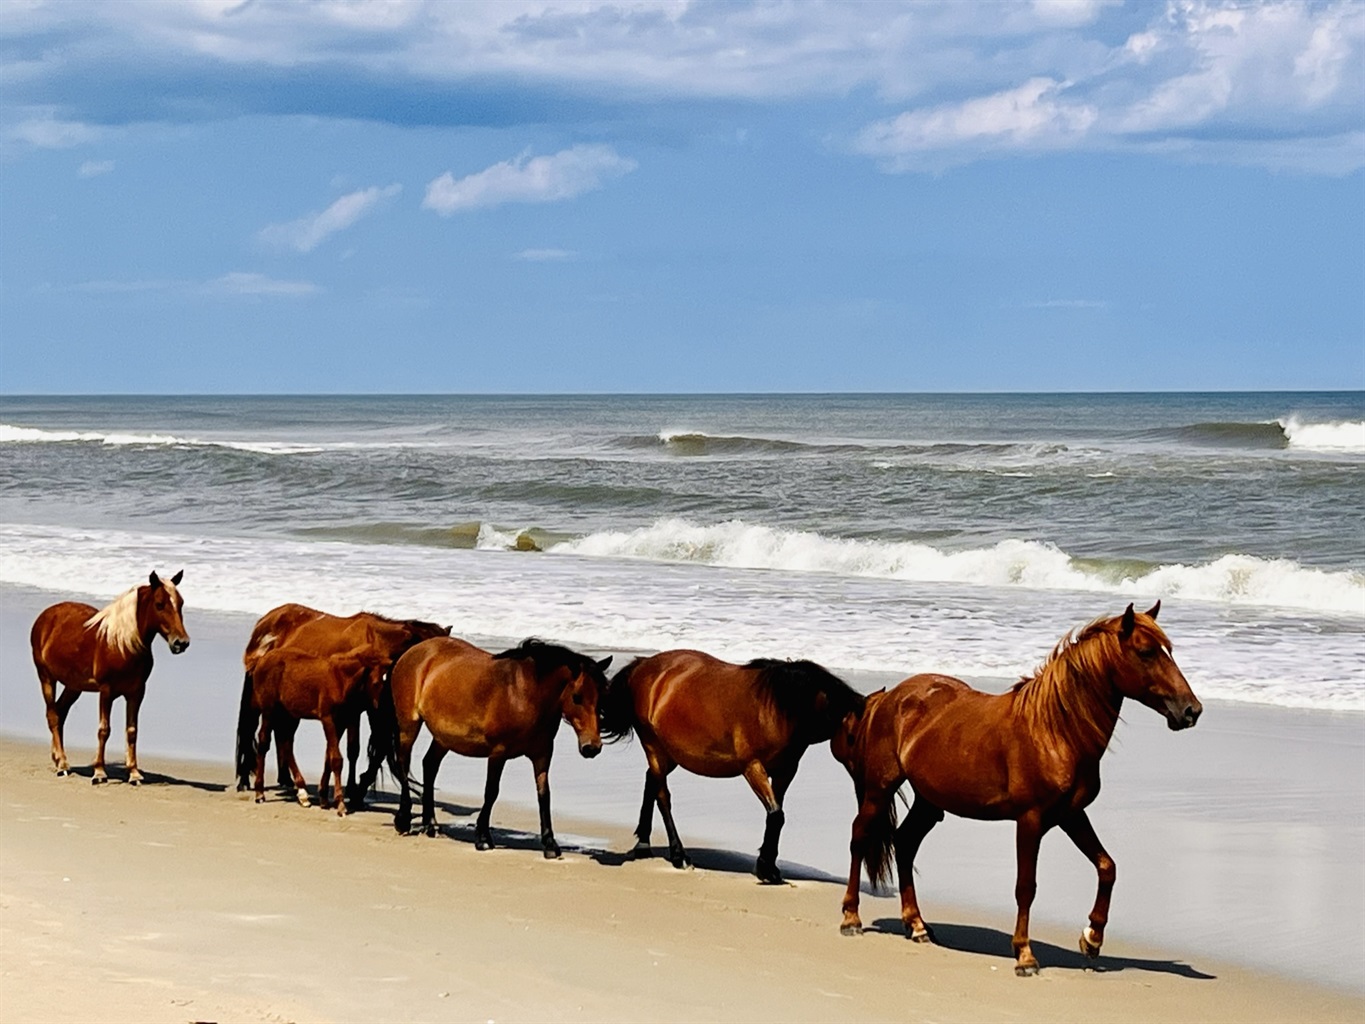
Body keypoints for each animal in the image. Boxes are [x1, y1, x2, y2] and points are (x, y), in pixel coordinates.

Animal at [30, 571, 190, 785]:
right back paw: (62, 764)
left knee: (60, 712)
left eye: (180, 603)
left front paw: (134, 773)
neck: (122, 644)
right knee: (53, 716)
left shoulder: (136, 693)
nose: (181, 643)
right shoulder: (106, 691)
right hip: (46, 677)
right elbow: (104, 730)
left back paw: (58, 760)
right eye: (159, 604)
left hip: (74, 686)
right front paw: (99, 772)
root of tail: (45, 616)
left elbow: (132, 731)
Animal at [239, 643, 391, 813]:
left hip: (290, 714)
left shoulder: (340, 722)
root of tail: (261, 660)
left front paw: (324, 799)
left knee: (286, 744)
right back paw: (260, 793)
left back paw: (302, 794)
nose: (383, 710)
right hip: (269, 711)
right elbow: (336, 759)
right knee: (264, 742)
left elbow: (328, 758)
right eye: (376, 682)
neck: (340, 679)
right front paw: (340, 804)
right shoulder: (327, 719)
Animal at [386, 637, 612, 859]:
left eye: (601, 696)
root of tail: (413, 651)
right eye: (577, 697)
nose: (592, 747)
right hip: (409, 725)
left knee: (430, 766)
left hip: (443, 738)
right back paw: (403, 820)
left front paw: (550, 843)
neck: (525, 694)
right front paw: (483, 838)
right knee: (404, 764)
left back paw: (431, 824)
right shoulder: (498, 753)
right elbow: (491, 792)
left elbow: (544, 795)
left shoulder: (542, 755)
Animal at [600, 650, 865, 883]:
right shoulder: (753, 767)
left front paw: (768, 866)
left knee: (651, 783)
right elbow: (775, 814)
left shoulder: (785, 772)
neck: (778, 708)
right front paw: (767, 869)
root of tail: (642, 664)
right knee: (663, 797)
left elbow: (776, 815)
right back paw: (679, 855)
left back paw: (643, 843)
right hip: (654, 747)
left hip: (670, 754)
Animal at [831, 602, 1201, 976]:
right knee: (860, 837)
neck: (1055, 730)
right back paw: (851, 918)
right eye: (1146, 652)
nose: (1191, 710)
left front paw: (1092, 939)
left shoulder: (1071, 814)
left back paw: (918, 925)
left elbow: (1106, 867)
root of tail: (889, 698)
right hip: (880, 790)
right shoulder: (1030, 820)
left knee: (905, 843)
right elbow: (1026, 887)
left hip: (929, 802)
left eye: (1169, 650)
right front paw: (1025, 954)